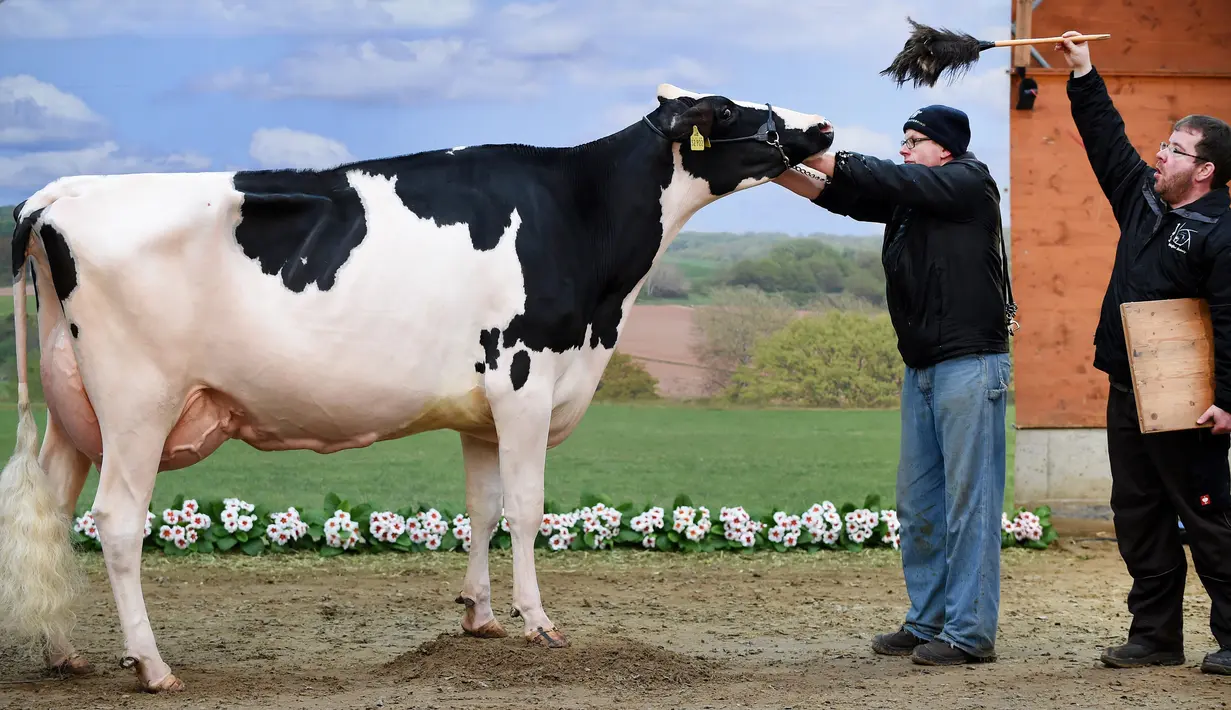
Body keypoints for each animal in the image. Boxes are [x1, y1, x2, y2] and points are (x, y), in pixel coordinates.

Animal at [0, 81, 832, 689]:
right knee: (115, 522)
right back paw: (152, 666)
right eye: (730, 112)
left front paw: (479, 616)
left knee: (55, 514)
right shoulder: (525, 378)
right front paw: (538, 622)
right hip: (137, 401)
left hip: (75, 408)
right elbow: (527, 509)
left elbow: (482, 508)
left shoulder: (481, 410)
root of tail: (59, 194)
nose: (822, 128)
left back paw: (63, 653)